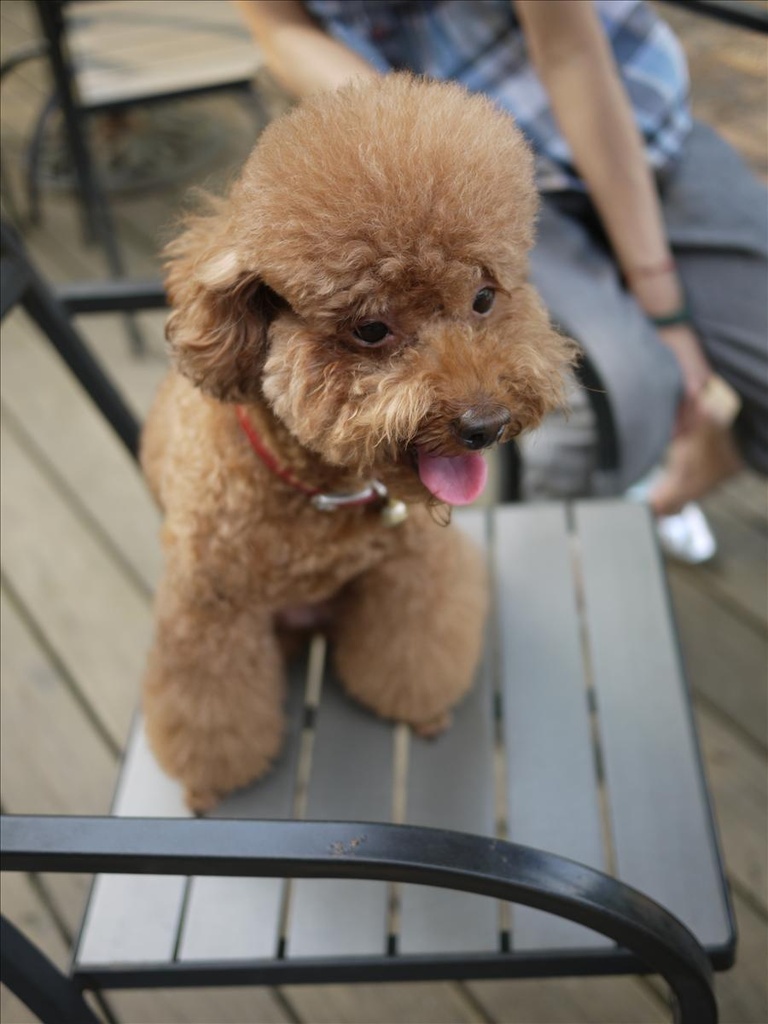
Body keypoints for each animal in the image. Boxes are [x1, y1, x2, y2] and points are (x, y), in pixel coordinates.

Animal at [143, 74, 577, 806]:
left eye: (484, 299)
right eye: (370, 329)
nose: (484, 425)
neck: (320, 490)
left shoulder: (410, 571)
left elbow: (415, 649)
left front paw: (421, 709)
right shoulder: (206, 613)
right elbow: (211, 714)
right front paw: (210, 785)